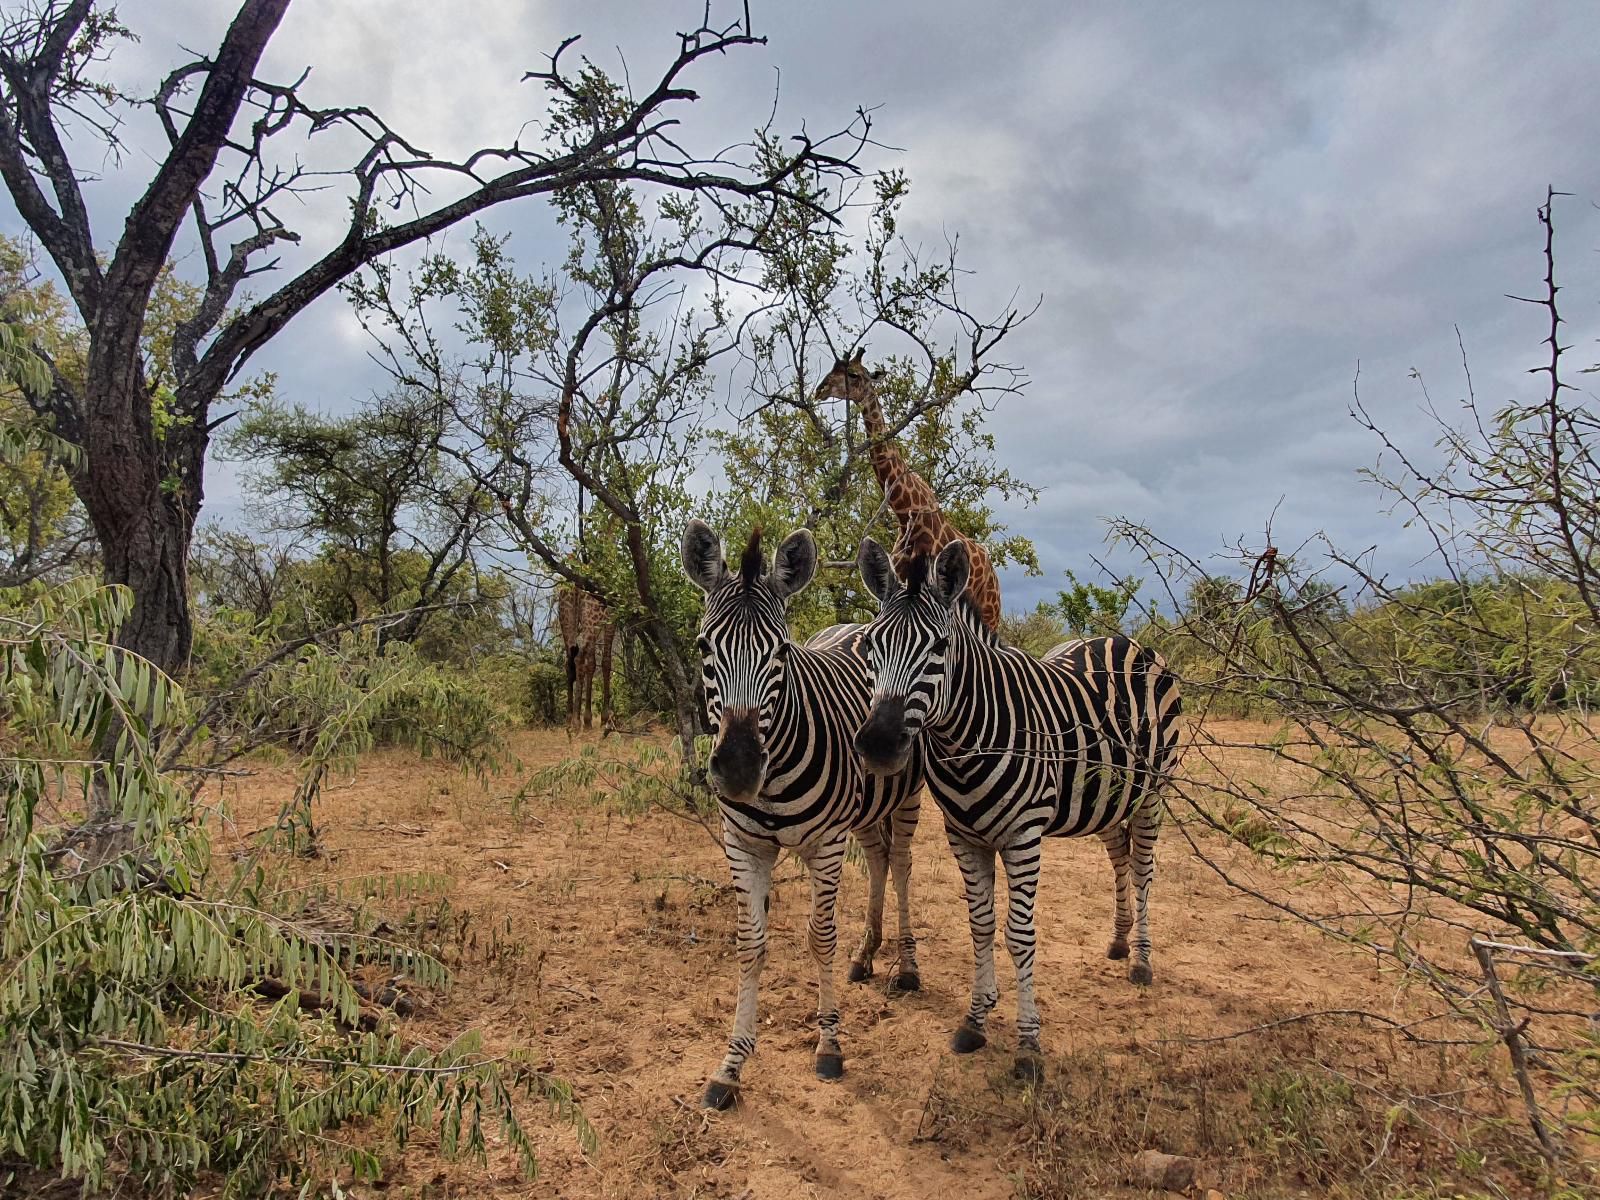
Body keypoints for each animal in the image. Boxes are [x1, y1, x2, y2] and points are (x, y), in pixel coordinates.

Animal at [556, 582, 617, 732]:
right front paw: (604, 717)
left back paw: (569, 719)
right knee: (579, 658)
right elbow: (606, 662)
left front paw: (588, 719)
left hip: (566, 619)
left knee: (569, 662)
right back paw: (577, 722)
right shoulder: (611, 617)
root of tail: (574, 588)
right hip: (591, 621)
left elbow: (592, 664)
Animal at [678, 521, 928, 1113]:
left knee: (902, 865)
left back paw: (906, 966)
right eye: (703, 647)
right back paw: (865, 955)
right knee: (879, 858)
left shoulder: (826, 842)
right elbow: (750, 944)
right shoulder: (744, 844)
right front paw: (730, 1066)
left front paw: (829, 1045)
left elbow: (820, 937)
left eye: (781, 652)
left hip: (904, 797)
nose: (739, 769)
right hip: (866, 809)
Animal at [819, 347, 1004, 630]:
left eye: (853, 374)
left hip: (990, 611)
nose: (820, 389)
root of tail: (994, 576)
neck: (906, 513)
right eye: (833, 368)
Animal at [857, 534, 1184, 1081]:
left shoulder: (1023, 837)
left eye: (940, 648)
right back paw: (1119, 942)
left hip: (1152, 791)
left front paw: (1029, 1044)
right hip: (1104, 796)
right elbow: (981, 925)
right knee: (1120, 857)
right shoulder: (964, 835)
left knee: (1142, 869)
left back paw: (1141, 960)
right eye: (869, 647)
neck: (966, 739)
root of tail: (1124, 641)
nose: (878, 744)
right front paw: (975, 1019)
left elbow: (1019, 934)